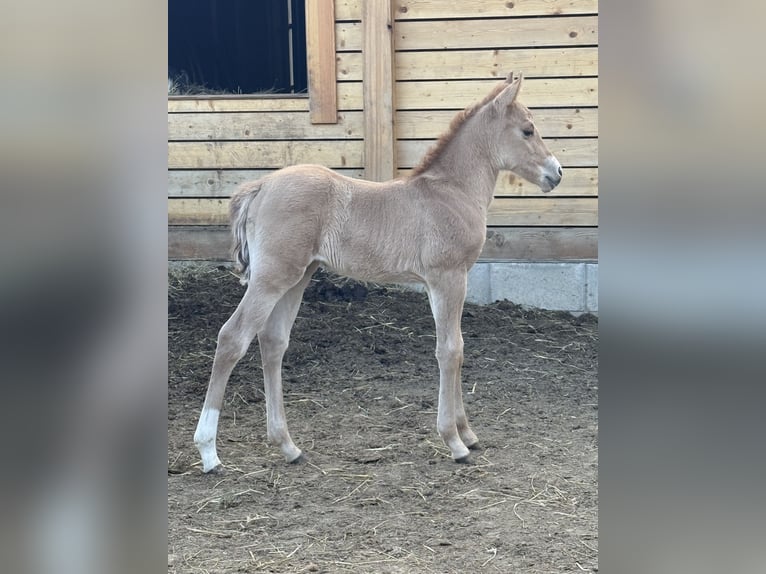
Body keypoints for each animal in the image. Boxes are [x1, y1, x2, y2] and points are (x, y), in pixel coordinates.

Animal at [193, 72, 562, 471]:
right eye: (527, 130)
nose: (557, 172)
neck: (451, 193)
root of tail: (260, 186)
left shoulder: (443, 282)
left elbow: (458, 348)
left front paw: (467, 432)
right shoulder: (447, 278)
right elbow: (450, 350)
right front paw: (453, 440)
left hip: (298, 277)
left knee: (273, 342)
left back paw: (288, 446)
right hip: (271, 277)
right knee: (232, 338)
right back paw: (209, 451)